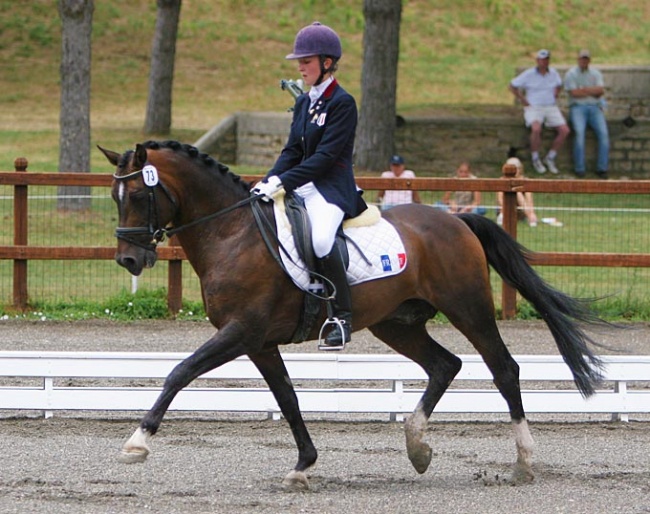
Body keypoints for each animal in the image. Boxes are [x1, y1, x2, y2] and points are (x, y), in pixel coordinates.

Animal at [98, 139, 604, 488]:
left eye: (139, 196)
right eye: (115, 198)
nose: (129, 261)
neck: (232, 233)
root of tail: (456, 219)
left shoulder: (241, 331)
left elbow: (179, 372)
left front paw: (137, 442)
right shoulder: (259, 342)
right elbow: (287, 398)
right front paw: (303, 466)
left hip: (468, 307)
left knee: (503, 367)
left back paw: (523, 461)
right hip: (396, 323)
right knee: (446, 364)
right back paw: (417, 446)